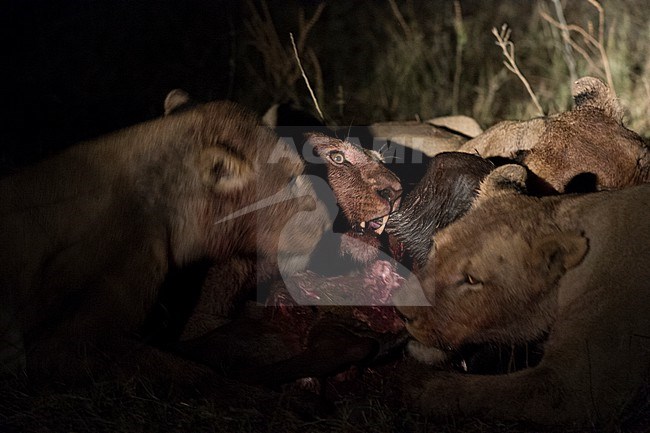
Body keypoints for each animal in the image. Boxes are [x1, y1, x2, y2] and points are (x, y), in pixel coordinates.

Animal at [394, 165, 648, 426]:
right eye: (436, 246)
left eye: (472, 280)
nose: (400, 312)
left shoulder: (576, 387)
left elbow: (480, 392)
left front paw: (411, 381)